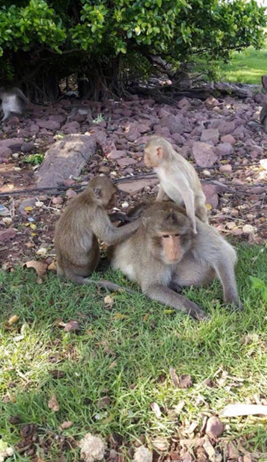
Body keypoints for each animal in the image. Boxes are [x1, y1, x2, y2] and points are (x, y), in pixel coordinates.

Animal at [111, 202, 243, 322]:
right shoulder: (149, 251)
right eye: (165, 236)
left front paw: (232, 300)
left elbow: (221, 255)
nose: (173, 250)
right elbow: (152, 286)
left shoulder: (197, 231)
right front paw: (191, 308)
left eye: (177, 235)